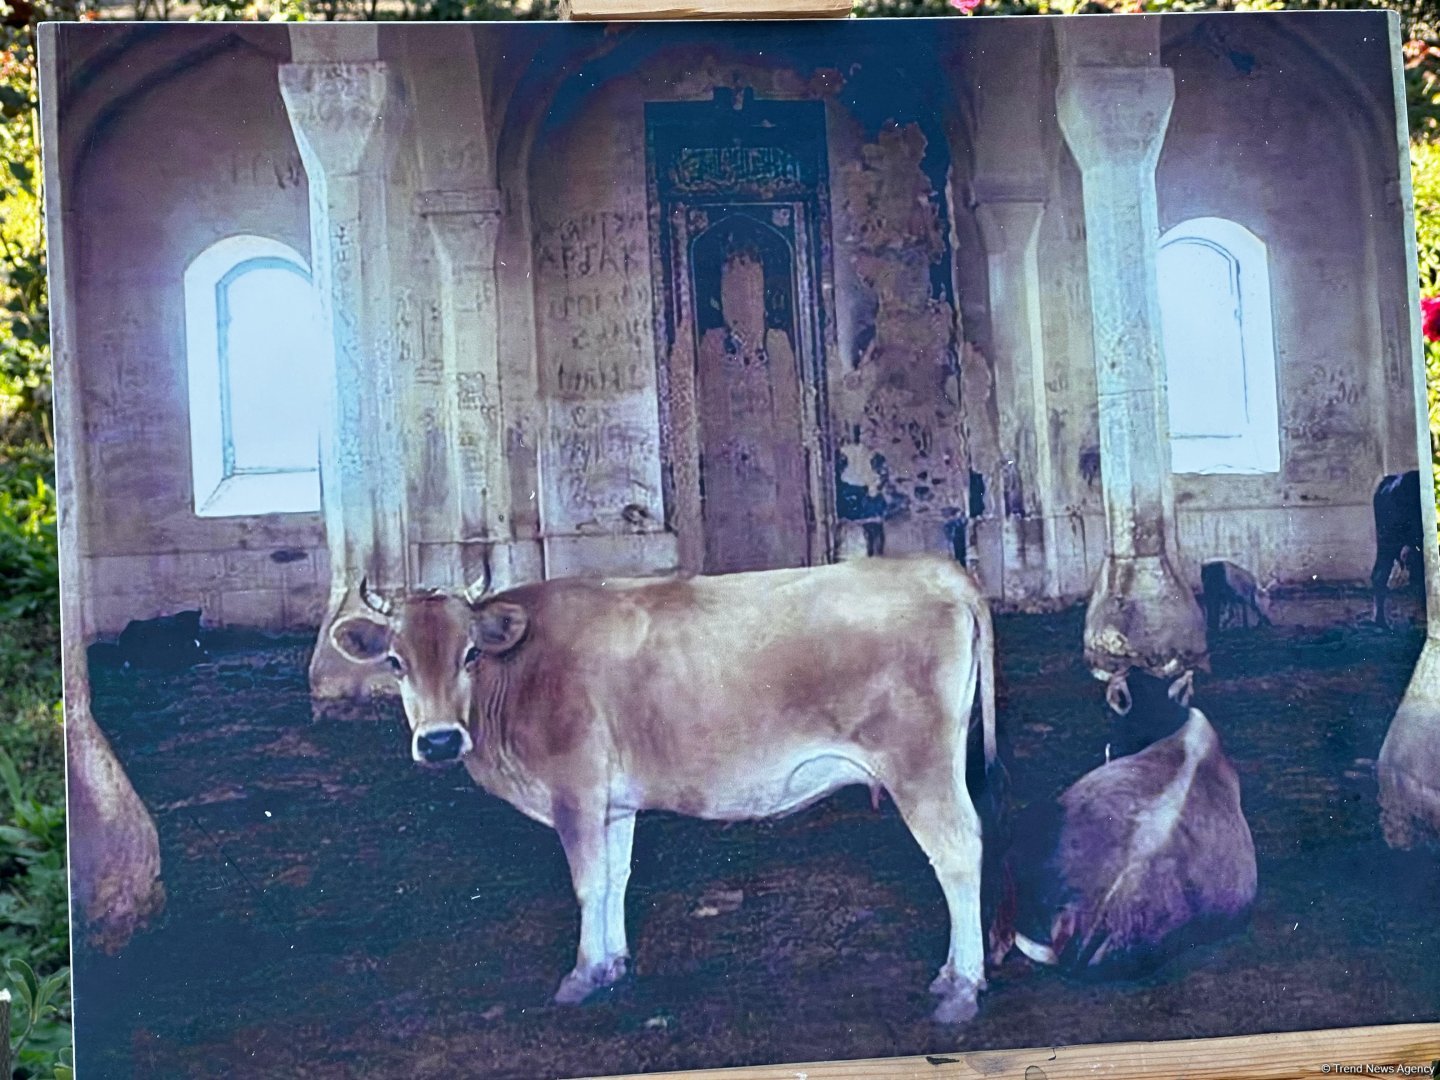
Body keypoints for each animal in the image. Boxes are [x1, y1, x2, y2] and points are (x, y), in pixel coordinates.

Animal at [331, 558, 996, 1025]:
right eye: (395, 662)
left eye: (470, 654)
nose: (440, 741)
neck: (520, 673)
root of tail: (934, 568)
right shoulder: (613, 802)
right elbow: (616, 878)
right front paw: (615, 964)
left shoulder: (575, 789)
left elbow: (587, 882)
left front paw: (583, 973)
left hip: (920, 766)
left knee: (959, 853)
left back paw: (962, 987)